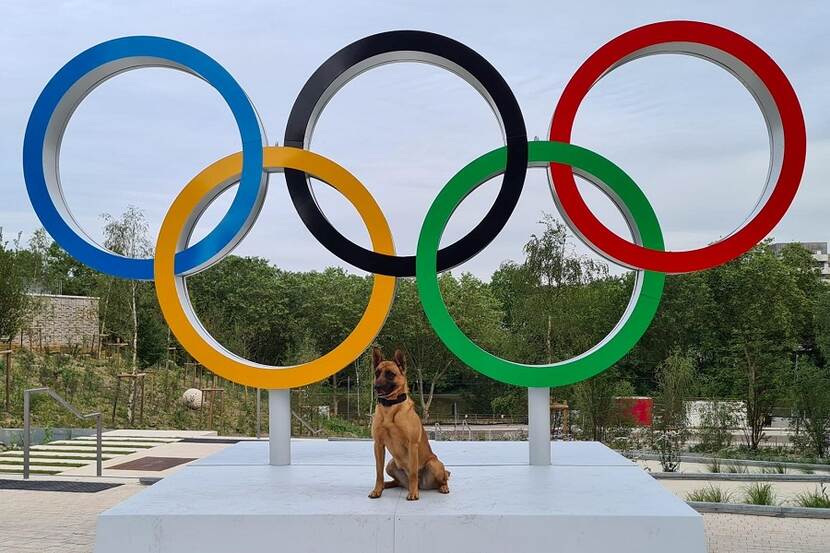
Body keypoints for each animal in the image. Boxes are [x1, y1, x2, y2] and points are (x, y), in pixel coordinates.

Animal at [368, 350, 452, 500]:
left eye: (390, 374)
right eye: (377, 373)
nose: (376, 387)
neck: (390, 407)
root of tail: (422, 485)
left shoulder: (412, 445)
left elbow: (413, 472)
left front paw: (413, 494)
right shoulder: (378, 445)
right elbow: (378, 472)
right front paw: (377, 490)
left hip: (433, 464)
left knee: (442, 480)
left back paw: (442, 487)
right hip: (391, 464)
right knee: (395, 481)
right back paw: (385, 485)